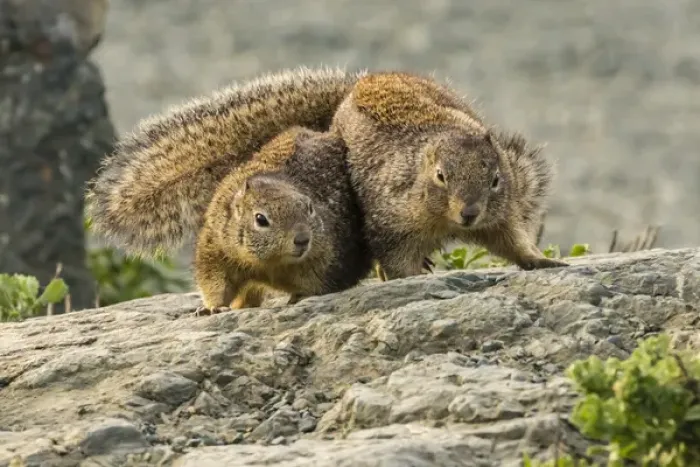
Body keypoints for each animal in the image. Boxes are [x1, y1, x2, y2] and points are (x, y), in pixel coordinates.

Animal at [193, 126, 373, 313]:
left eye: (310, 208)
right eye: (261, 219)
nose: (302, 239)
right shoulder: (215, 247)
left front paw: (301, 296)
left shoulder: (326, 257)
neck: (272, 263)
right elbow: (215, 282)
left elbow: (318, 282)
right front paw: (214, 307)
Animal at [328, 71, 568, 280]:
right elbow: (397, 260)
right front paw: (410, 276)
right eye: (440, 176)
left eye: (496, 180)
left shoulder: (502, 216)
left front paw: (541, 260)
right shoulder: (390, 224)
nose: (469, 212)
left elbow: (514, 241)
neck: (446, 222)